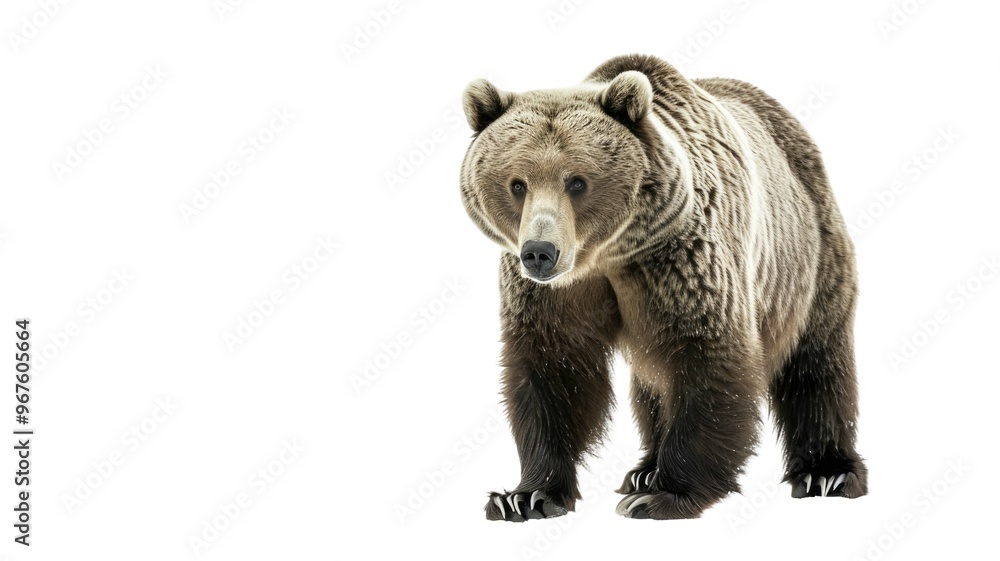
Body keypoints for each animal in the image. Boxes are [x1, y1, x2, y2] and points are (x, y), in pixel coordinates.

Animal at [459, 54, 868, 521]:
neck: (610, 254)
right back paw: (643, 469)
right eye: (517, 183)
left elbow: (707, 355)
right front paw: (525, 496)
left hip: (806, 256)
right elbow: (553, 369)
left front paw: (666, 495)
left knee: (817, 360)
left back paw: (826, 472)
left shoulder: (682, 261)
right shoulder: (556, 295)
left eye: (577, 181)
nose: (540, 252)